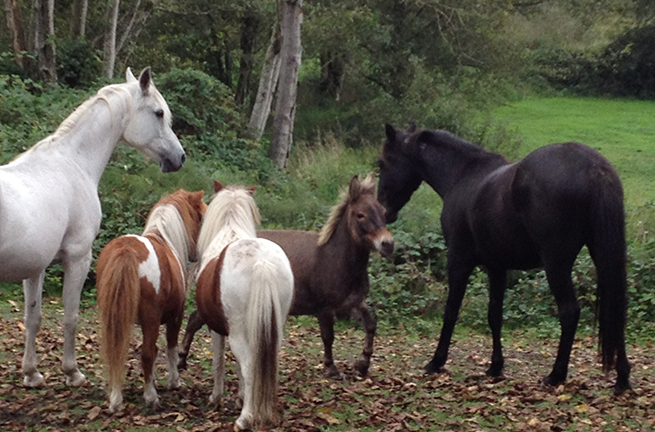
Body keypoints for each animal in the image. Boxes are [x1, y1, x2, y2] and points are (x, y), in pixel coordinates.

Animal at [0, 68, 186, 388]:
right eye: (159, 113)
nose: (180, 157)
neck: (72, 164)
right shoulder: (78, 258)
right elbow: (70, 316)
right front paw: (72, 372)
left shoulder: (35, 268)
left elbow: (33, 318)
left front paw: (32, 373)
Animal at [95, 189, 205, 412]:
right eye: (202, 217)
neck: (164, 239)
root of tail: (126, 249)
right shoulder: (175, 316)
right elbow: (170, 348)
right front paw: (174, 381)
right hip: (151, 318)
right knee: (146, 354)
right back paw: (151, 397)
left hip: (114, 317)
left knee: (115, 351)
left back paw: (116, 399)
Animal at [193, 181, 294, 430]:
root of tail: (262, 263)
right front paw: (240, 397)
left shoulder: (217, 329)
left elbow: (220, 362)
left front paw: (216, 398)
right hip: (274, 330)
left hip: (238, 331)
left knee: (250, 366)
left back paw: (245, 418)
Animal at [380, 123, 632, 394]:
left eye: (384, 162)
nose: (384, 211)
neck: (463, 175)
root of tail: (595, 168)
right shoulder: (497, 267)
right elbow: (495, 315)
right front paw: (495, 366)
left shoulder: (459, 260)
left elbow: (451, 311)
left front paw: (436, 361)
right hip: (600, 255)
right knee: (617, 308)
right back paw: (622, 377)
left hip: (556, 264)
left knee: (569, 312)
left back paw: (556, 375)